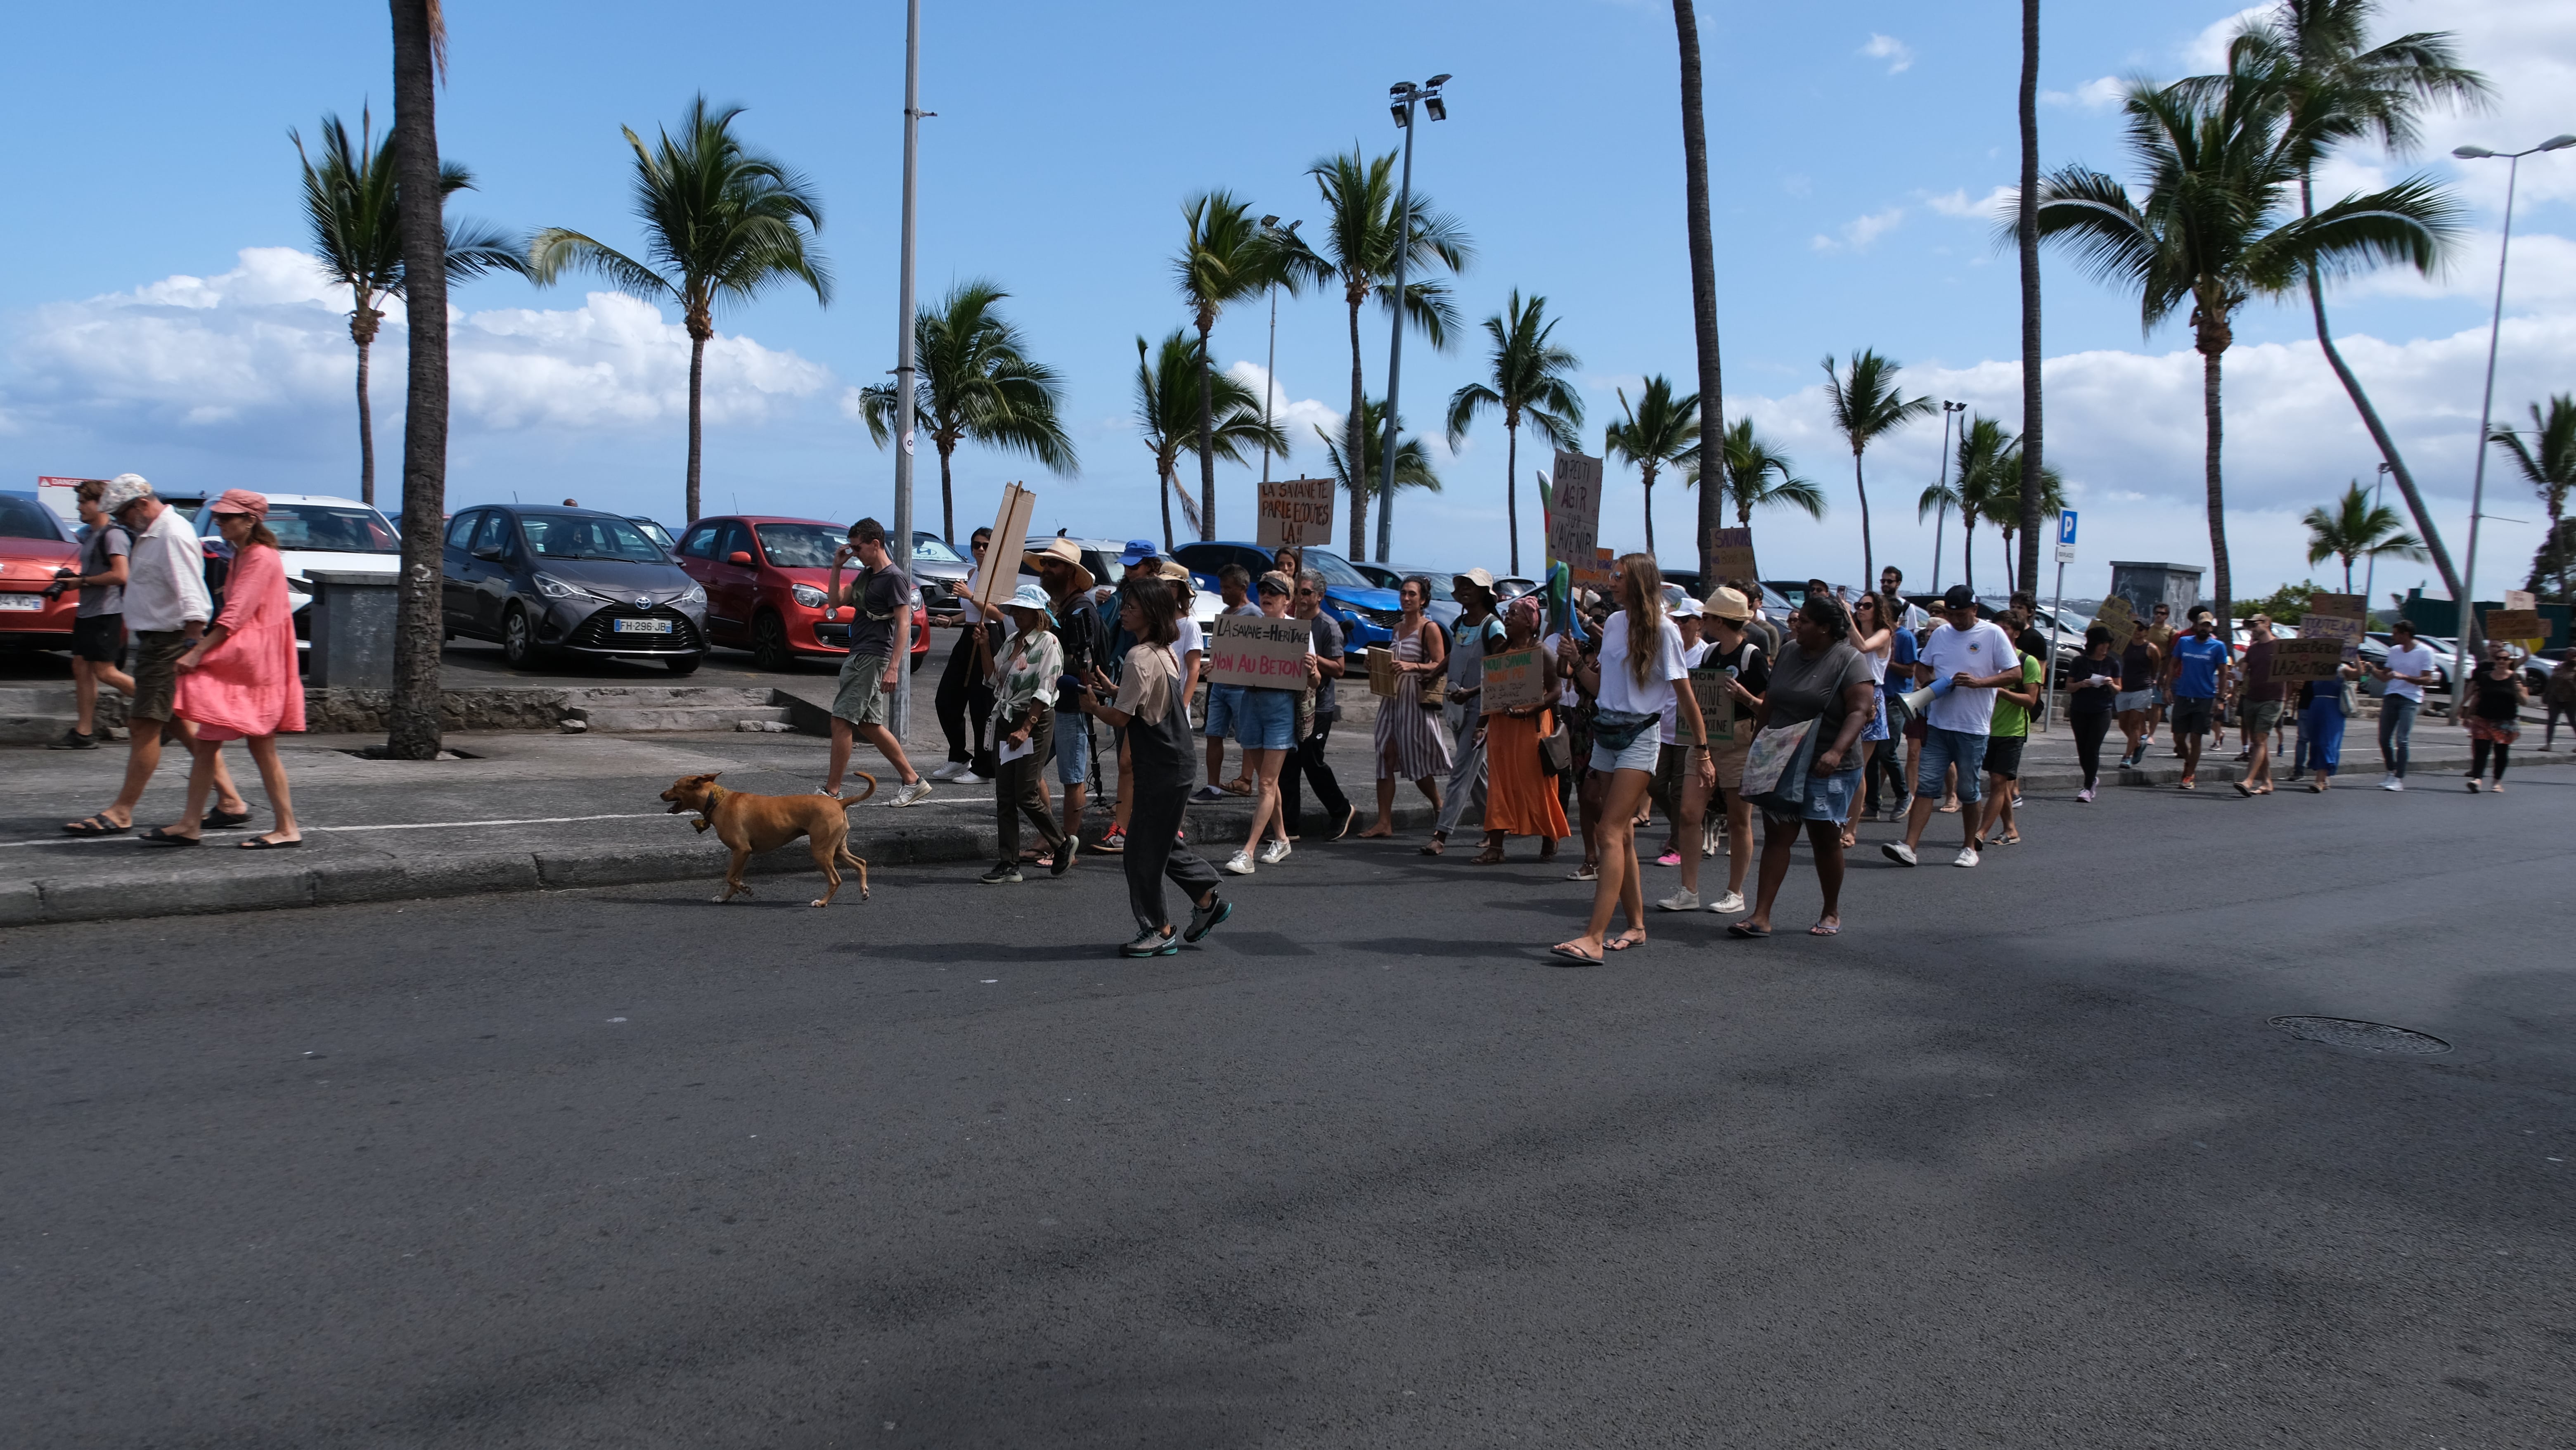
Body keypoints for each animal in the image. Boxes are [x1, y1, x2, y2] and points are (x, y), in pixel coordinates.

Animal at [654, 772, 876, 906]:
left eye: (675, 786)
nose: (661, 794)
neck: (716, 801)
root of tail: (839, 803)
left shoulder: (741, 850)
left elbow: (730, 878)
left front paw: (745, 889)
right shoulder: (742, 854)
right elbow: (733, 879)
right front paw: (727, 897)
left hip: (821, 852)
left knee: (836, 880)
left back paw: (822, 902)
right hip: (837, 849)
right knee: (861, 863)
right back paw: (864, 891)